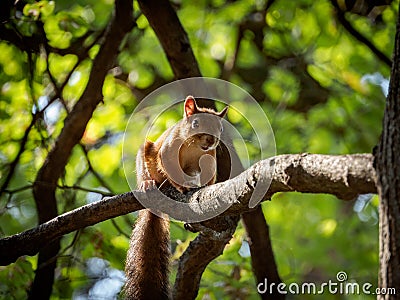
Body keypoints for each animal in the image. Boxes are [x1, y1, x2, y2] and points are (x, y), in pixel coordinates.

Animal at [123, 95, 227, 298]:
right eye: (196, 123)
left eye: (220, 128)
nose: (211, 140)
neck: (195, 147)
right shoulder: (168, 150)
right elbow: (169, 165)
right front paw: (182, 187)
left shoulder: (210, 158)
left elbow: (209, 177)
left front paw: (201, 187)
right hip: (146, 153)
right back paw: (149, 184)